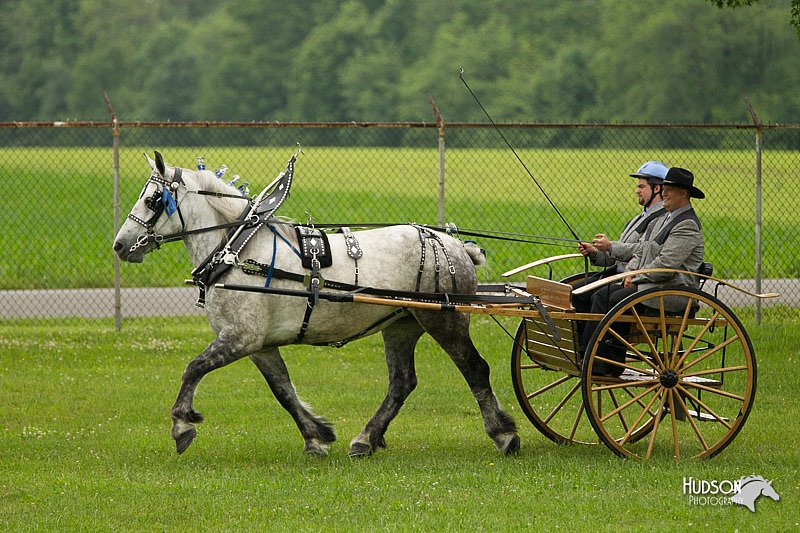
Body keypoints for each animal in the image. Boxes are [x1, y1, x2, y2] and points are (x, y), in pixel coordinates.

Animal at [112, 154, 520, 458]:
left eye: (152, 200)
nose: (120, 244)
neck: (238, 251)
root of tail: (453, 245)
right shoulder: (259, 345)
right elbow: (283, 390)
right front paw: (316, 435)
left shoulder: (240, 337)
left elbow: (194, 368)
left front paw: (182, 423)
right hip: (400, 325)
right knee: (402, 382)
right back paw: (366, 439)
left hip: (444, 323)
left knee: (475, 369)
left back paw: (503, 434)